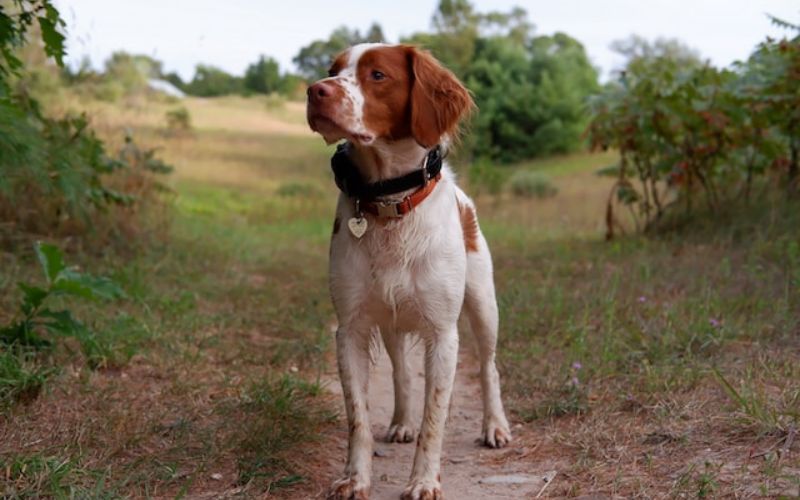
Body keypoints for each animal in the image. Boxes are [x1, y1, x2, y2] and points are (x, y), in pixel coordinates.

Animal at [306, 44, 512, 500]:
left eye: (378, 75)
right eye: (332, 69)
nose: (314, 91)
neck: (389, 205)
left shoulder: (443, 333)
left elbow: (435, 419)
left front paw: (423, 482)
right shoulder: (351, 328)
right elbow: (358, 416)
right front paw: (355, 478)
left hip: (483, 305)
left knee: (489, 367)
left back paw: (495, 426)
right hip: (392, 323)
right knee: (401, 372)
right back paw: (401, 422)